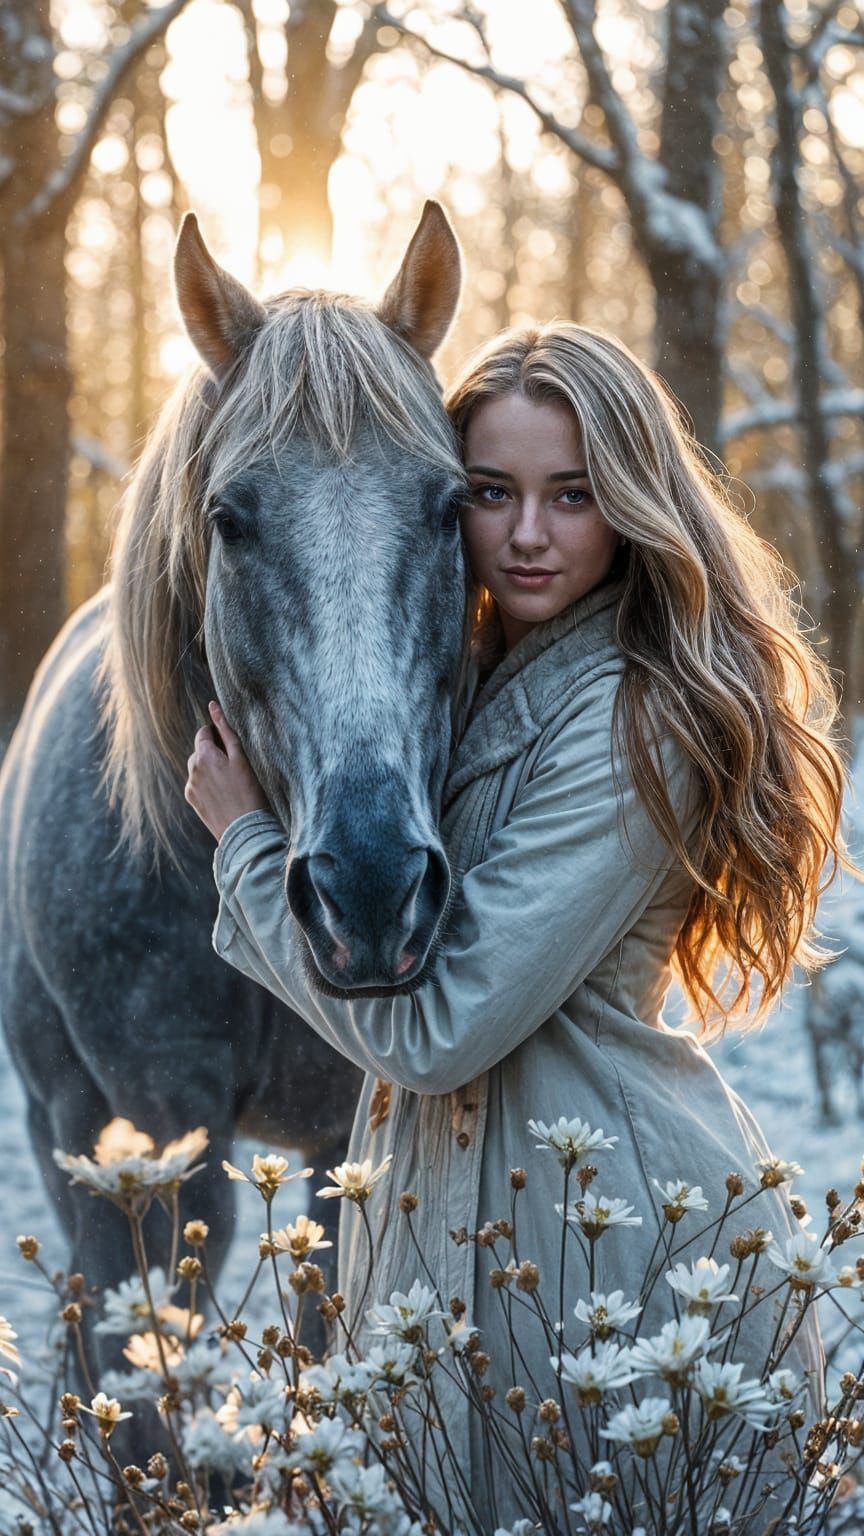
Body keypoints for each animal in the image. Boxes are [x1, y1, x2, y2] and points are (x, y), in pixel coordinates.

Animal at [0, 202, 469, 1371]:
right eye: (229, 520)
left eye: (456, 505)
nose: (370, 888)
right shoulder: (164, 1133)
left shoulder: (354, 1127)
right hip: (70, 1129)